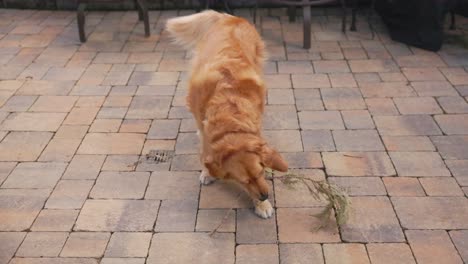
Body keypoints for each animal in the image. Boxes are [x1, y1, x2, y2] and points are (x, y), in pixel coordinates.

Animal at [165, 10, 288, 218]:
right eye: (244, 181)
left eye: (261, 172)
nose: (264, 196)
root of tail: (229, 17)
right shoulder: (204, 127)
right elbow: (205, 153)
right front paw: (207, 172)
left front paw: (262, 205)